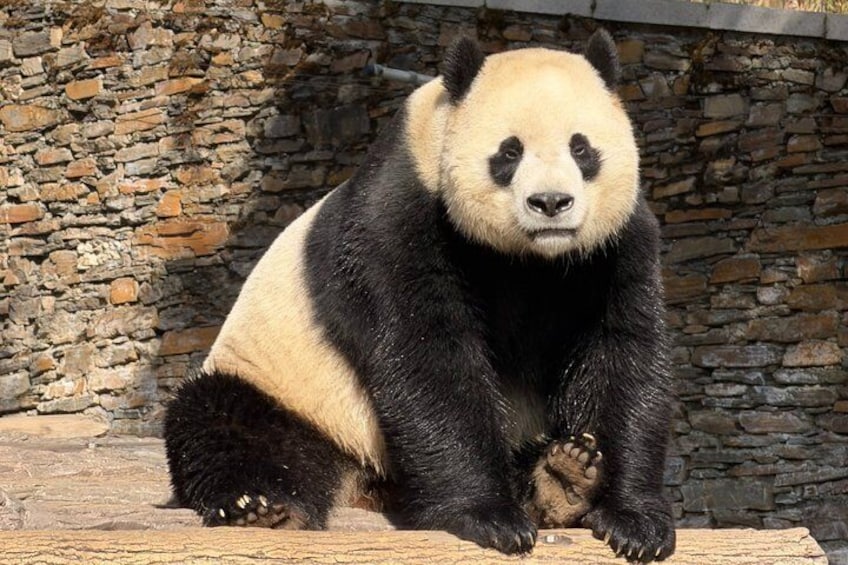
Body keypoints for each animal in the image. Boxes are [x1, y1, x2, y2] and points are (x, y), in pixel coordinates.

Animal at [164, 29, 676, 562]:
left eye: (581, 149)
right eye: (509, 153)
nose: (551, 203)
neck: (533, 258)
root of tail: (364, 483)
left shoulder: (618, 247)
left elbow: (623, 356)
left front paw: (634, 521)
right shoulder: (399, 220)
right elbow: (427, 357)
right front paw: (488, 516)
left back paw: (561, 478)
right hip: (293, 389)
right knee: (227, 422)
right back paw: (264, 508)